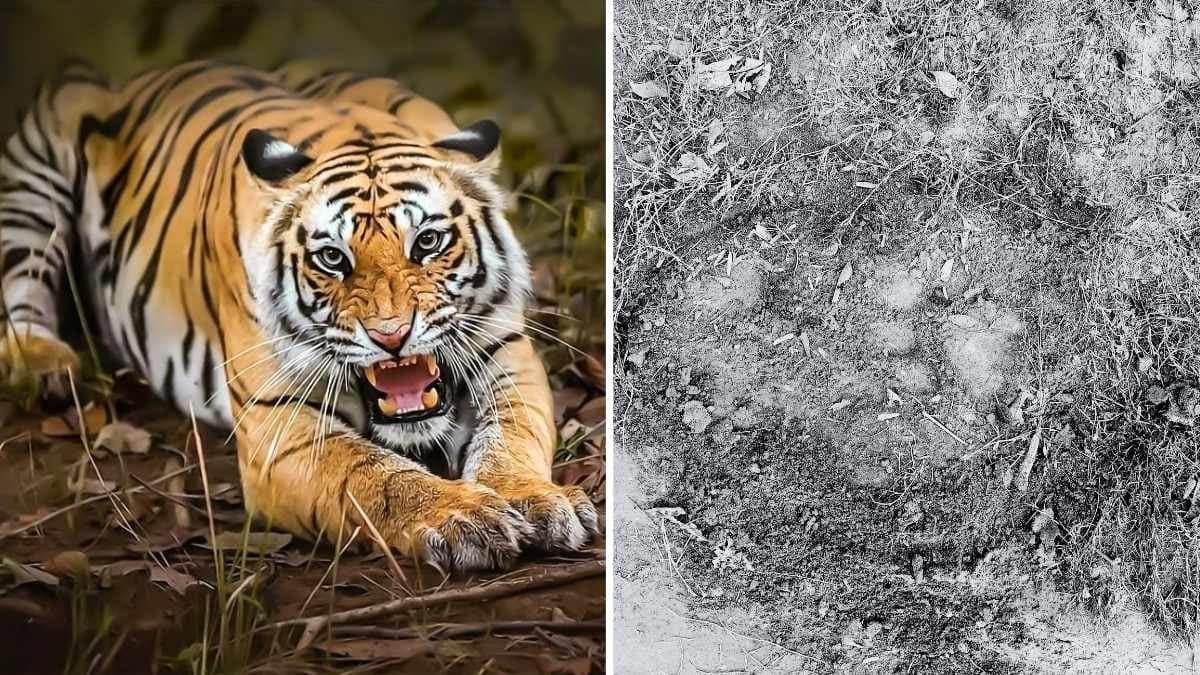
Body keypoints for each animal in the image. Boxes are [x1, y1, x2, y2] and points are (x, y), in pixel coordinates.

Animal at [0, 60, 599, 571]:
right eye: (332, 258)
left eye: (427, 242)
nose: (391, 337)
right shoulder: (280, 423)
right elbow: (373, 475)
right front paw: (463, 516)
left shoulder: (509, 351)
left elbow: (513, 434)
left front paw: (537, 501)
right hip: (39, 154)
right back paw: (47, 364)